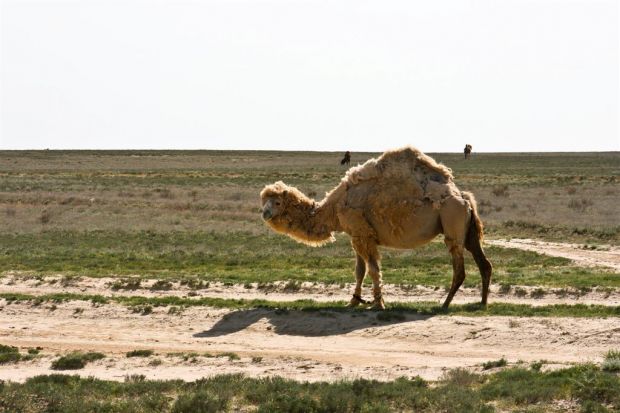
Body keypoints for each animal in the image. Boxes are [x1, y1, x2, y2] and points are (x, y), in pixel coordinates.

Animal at [260, 146, 492, 308]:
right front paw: (353, 301)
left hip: (452, 221)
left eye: (277, 202)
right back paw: (481, 302)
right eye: (263, 200)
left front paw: (379, 303)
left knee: (459, 268)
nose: (264, 213)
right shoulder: (357, 236)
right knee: (483, 262)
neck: (335, 207)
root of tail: (463, 196)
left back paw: (444, 304)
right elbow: (359, 271)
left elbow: (372, 270)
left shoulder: (363, 234)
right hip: (467, 229)